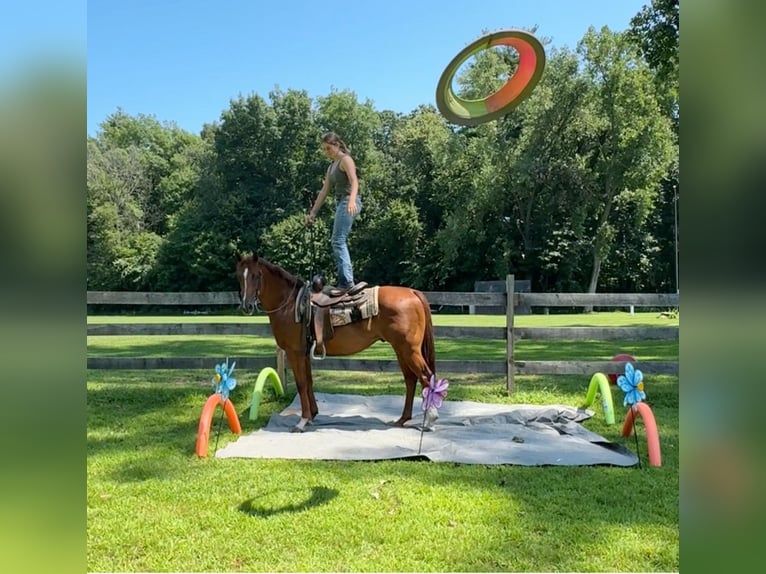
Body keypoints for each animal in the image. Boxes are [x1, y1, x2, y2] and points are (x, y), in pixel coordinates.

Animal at [234, 254, 438, 434]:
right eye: (239, 276)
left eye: (256, 275)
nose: (246, 306)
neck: (290, 304)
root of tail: (412, 292)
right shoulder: (304, 352)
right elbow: (309, 381)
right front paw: (312, 416)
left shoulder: (294, 352)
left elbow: (301, 384)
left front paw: (302, 421)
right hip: (401, 350)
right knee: (411, 380)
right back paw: (402, 419)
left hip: (409, 350)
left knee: (426, 377)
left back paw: (430, 420)